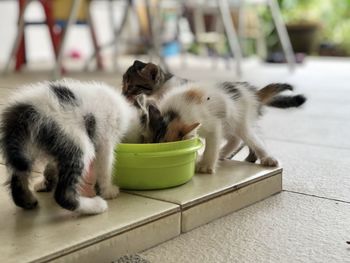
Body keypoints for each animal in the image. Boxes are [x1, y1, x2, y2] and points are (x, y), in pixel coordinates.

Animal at [0, 79, 148, 216]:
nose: (143, 142)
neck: (126, 111)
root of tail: (26, 112)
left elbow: (52, 164)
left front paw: (46, 180)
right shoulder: (105, 140)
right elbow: (105, 166)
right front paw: (108, 190)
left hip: (23, 147)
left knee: (19, 175)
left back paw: (28, 200)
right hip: (76, 140)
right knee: (63, 195)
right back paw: (95, 206)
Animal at [142, 81, 306, 174]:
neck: (174, 113)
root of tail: (252, 93)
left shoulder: (213, 124)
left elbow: (211, 145)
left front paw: (206, 166)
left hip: (239, 120)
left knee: (249, 138)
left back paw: (268, 159)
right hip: (228, 123)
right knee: (234, 140)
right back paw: (222, 154)